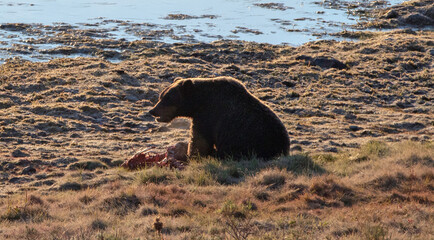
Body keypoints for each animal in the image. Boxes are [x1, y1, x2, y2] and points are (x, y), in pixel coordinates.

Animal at [148, 77, 288, 159]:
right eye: (161, 96)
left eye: (167, 98)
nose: (152, 111)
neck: (199, 101)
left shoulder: (208, 115)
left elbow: (199, 140)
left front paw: (190, 154)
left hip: (249, 144)